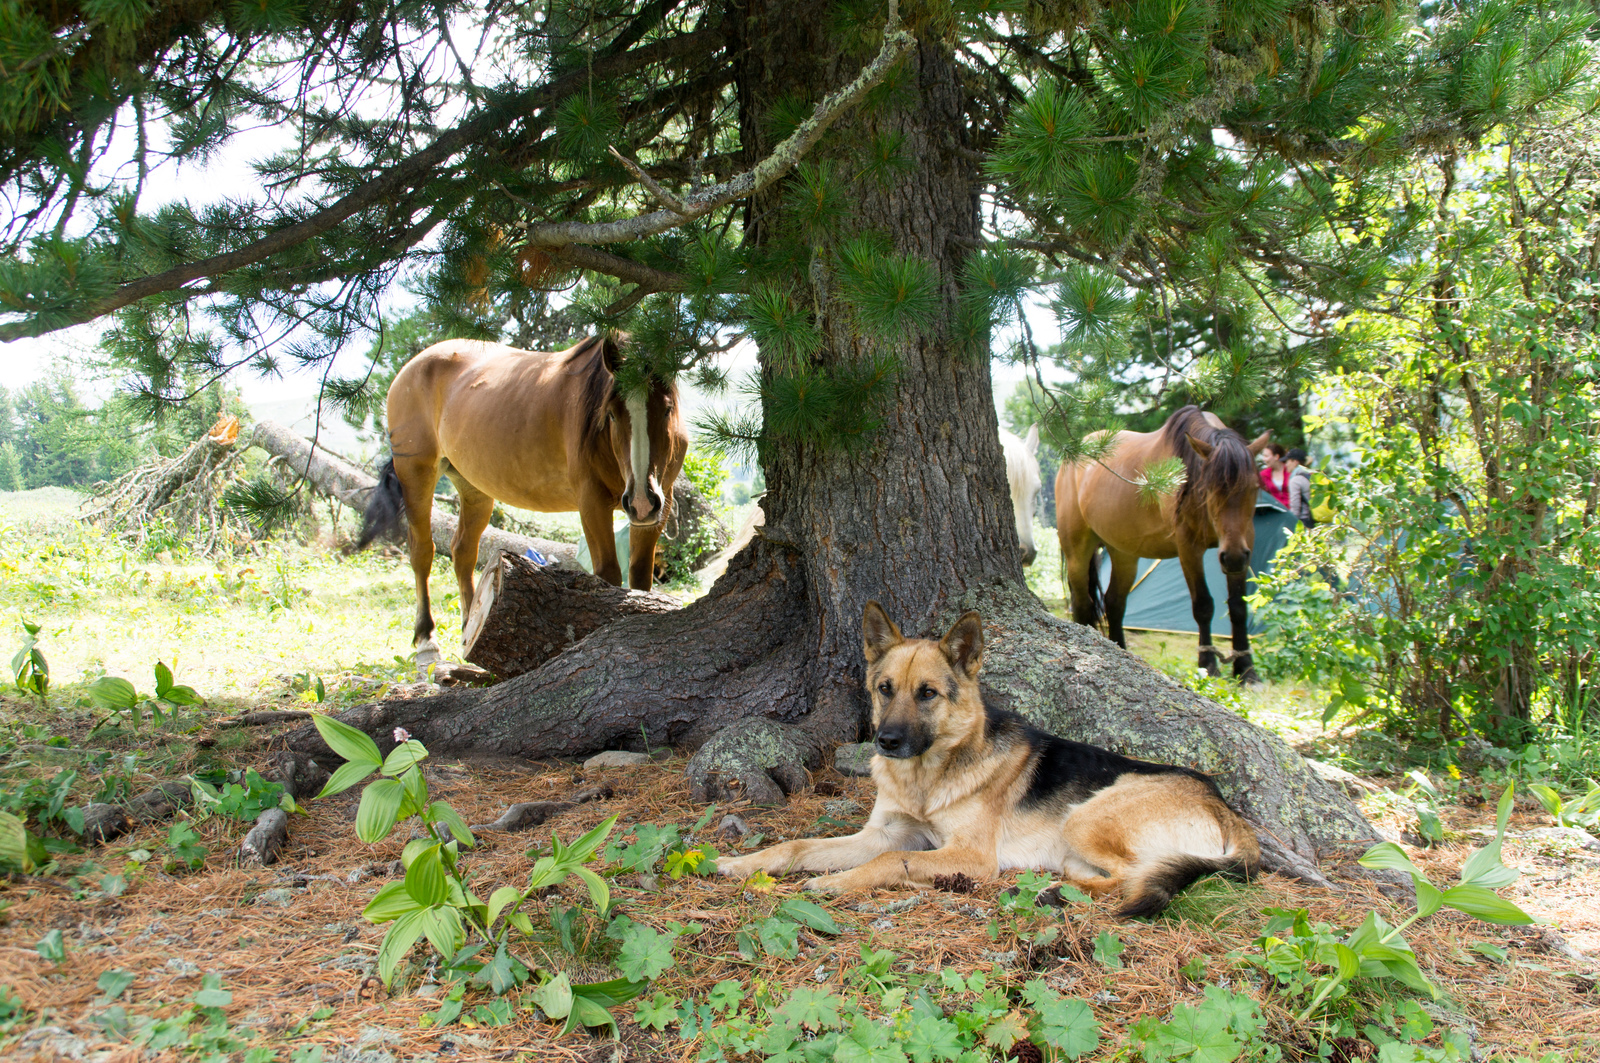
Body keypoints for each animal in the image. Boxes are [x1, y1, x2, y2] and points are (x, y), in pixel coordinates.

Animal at [360, 334, 684, 665]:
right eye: (611, 414)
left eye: (667, 409)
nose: (641, 501)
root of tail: (411, 367)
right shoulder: (592, 503)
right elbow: (608, 575)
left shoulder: (659, 506)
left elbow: (640, 576)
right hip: (417, 474)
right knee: (422, 552)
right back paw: (427, 641)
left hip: (473, 488)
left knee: (462, 551)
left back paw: (469, 628)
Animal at [716, 601, 1260, 915]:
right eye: (885, 689)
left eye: (928, 693)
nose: (886, 742)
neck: (927, 780)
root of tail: (1225, 808)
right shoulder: (882, 834)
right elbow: (800, 846)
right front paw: (742, 863)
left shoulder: (969, 856)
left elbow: (894, 859)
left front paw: (841, 882)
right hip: (1076, 845)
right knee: (1110, 876)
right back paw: (1050, 889)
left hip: (1086, 817)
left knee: (1136, 877)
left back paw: (1049, 894)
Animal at [1056, 403, 1267, 685]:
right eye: (1211, 488)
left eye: (1253, 488)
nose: (1232, 557)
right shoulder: (1189, 548)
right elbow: (1203, 605)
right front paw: (1208, 664)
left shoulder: (1245, 545)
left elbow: (1238, 607)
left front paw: (1246, 669)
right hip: (1078, 551)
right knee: (1083, 605)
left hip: (1123, 553)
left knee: (1114, 602)